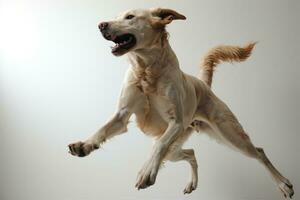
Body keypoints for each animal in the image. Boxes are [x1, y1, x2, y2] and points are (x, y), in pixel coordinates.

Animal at [67, 7, 292, 197]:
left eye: (130, 17)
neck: (147, 70)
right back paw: (192, 184)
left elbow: (159, 145)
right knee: (191, 153)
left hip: (229, 134)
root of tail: (202, 84)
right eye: (115, 16)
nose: (101, 25)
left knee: (259, 152)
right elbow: (102, 129)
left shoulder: (176, 122)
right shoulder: (122, 114)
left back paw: (284, 184)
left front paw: (146, 172)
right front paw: (84, 145)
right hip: (176, 150)